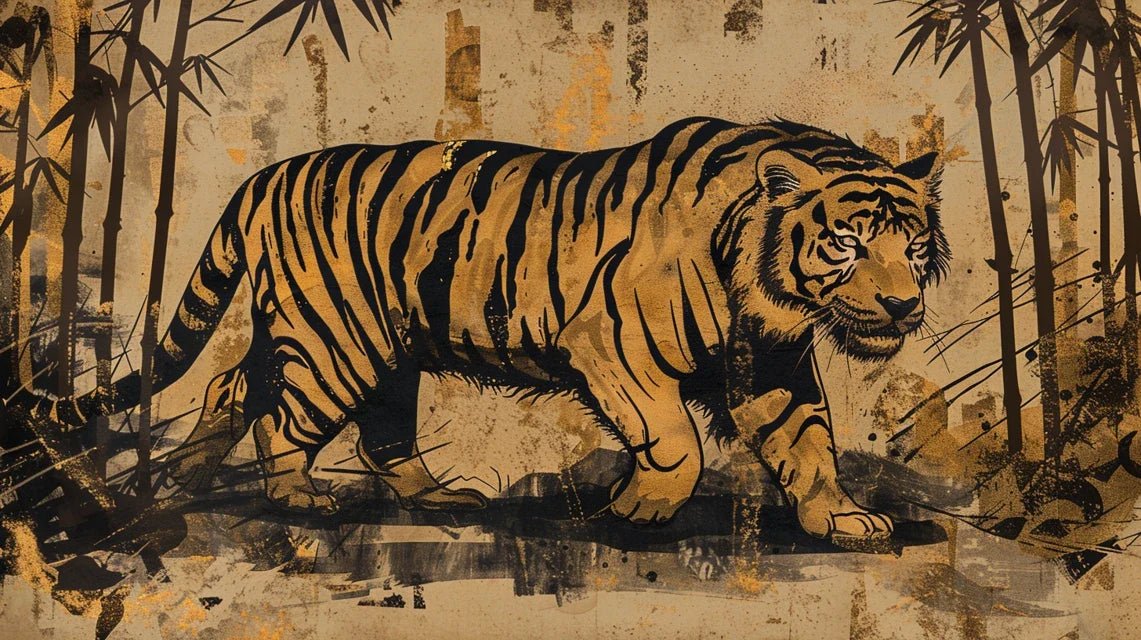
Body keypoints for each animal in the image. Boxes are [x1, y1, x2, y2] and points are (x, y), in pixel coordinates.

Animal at [29, 116, 945, 541]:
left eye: (913, 244)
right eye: (847, 242)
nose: (902, 307)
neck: (763, 288)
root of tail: (268, 173)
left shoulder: (773, 361)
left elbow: (809, 442)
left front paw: (841, 520)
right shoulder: (611, 348)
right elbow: (673, 439)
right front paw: (640, 508)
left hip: (362, 345)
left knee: (258, 392)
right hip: (334, 342)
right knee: (283, 420)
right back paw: (295, 495)